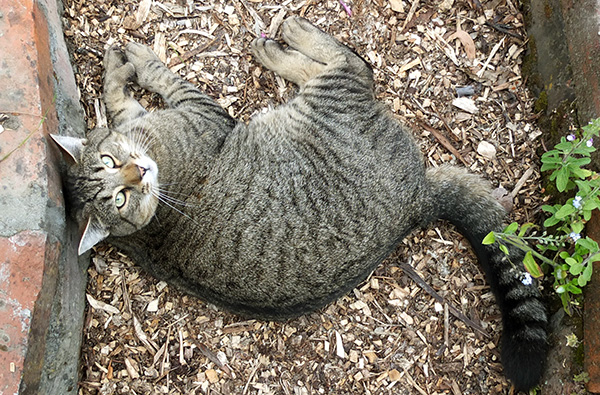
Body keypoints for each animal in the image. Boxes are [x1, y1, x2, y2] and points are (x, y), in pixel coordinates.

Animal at [52, 17, 548, 392]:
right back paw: (283, 41)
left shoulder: (158, 118)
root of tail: (418, 201)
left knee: (350, 64)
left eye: (112, 165)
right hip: (328, 103)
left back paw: (281, 39)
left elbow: (123, 92)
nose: (138, 174)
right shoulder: (196, 112)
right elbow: (160, 76)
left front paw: (119, 63)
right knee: (350, 65)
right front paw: (134, 64)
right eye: (119, 196)